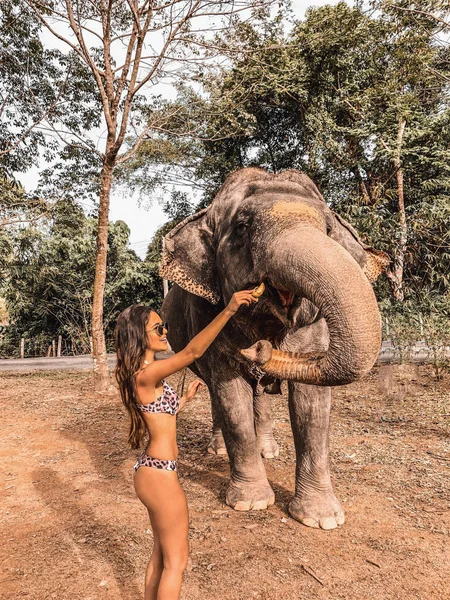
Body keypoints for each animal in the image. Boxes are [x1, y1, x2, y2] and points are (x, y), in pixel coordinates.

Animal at [160, 168, 388, 528]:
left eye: (327, 230)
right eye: (242, 227)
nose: (259, 350)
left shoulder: (313, 331)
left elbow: (312, 407)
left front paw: (322, 519)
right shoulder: (205, 315)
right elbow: (231, 396)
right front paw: (250, 503)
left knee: (258, 395)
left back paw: (268, 450)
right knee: (216, 391)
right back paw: (219, 450)